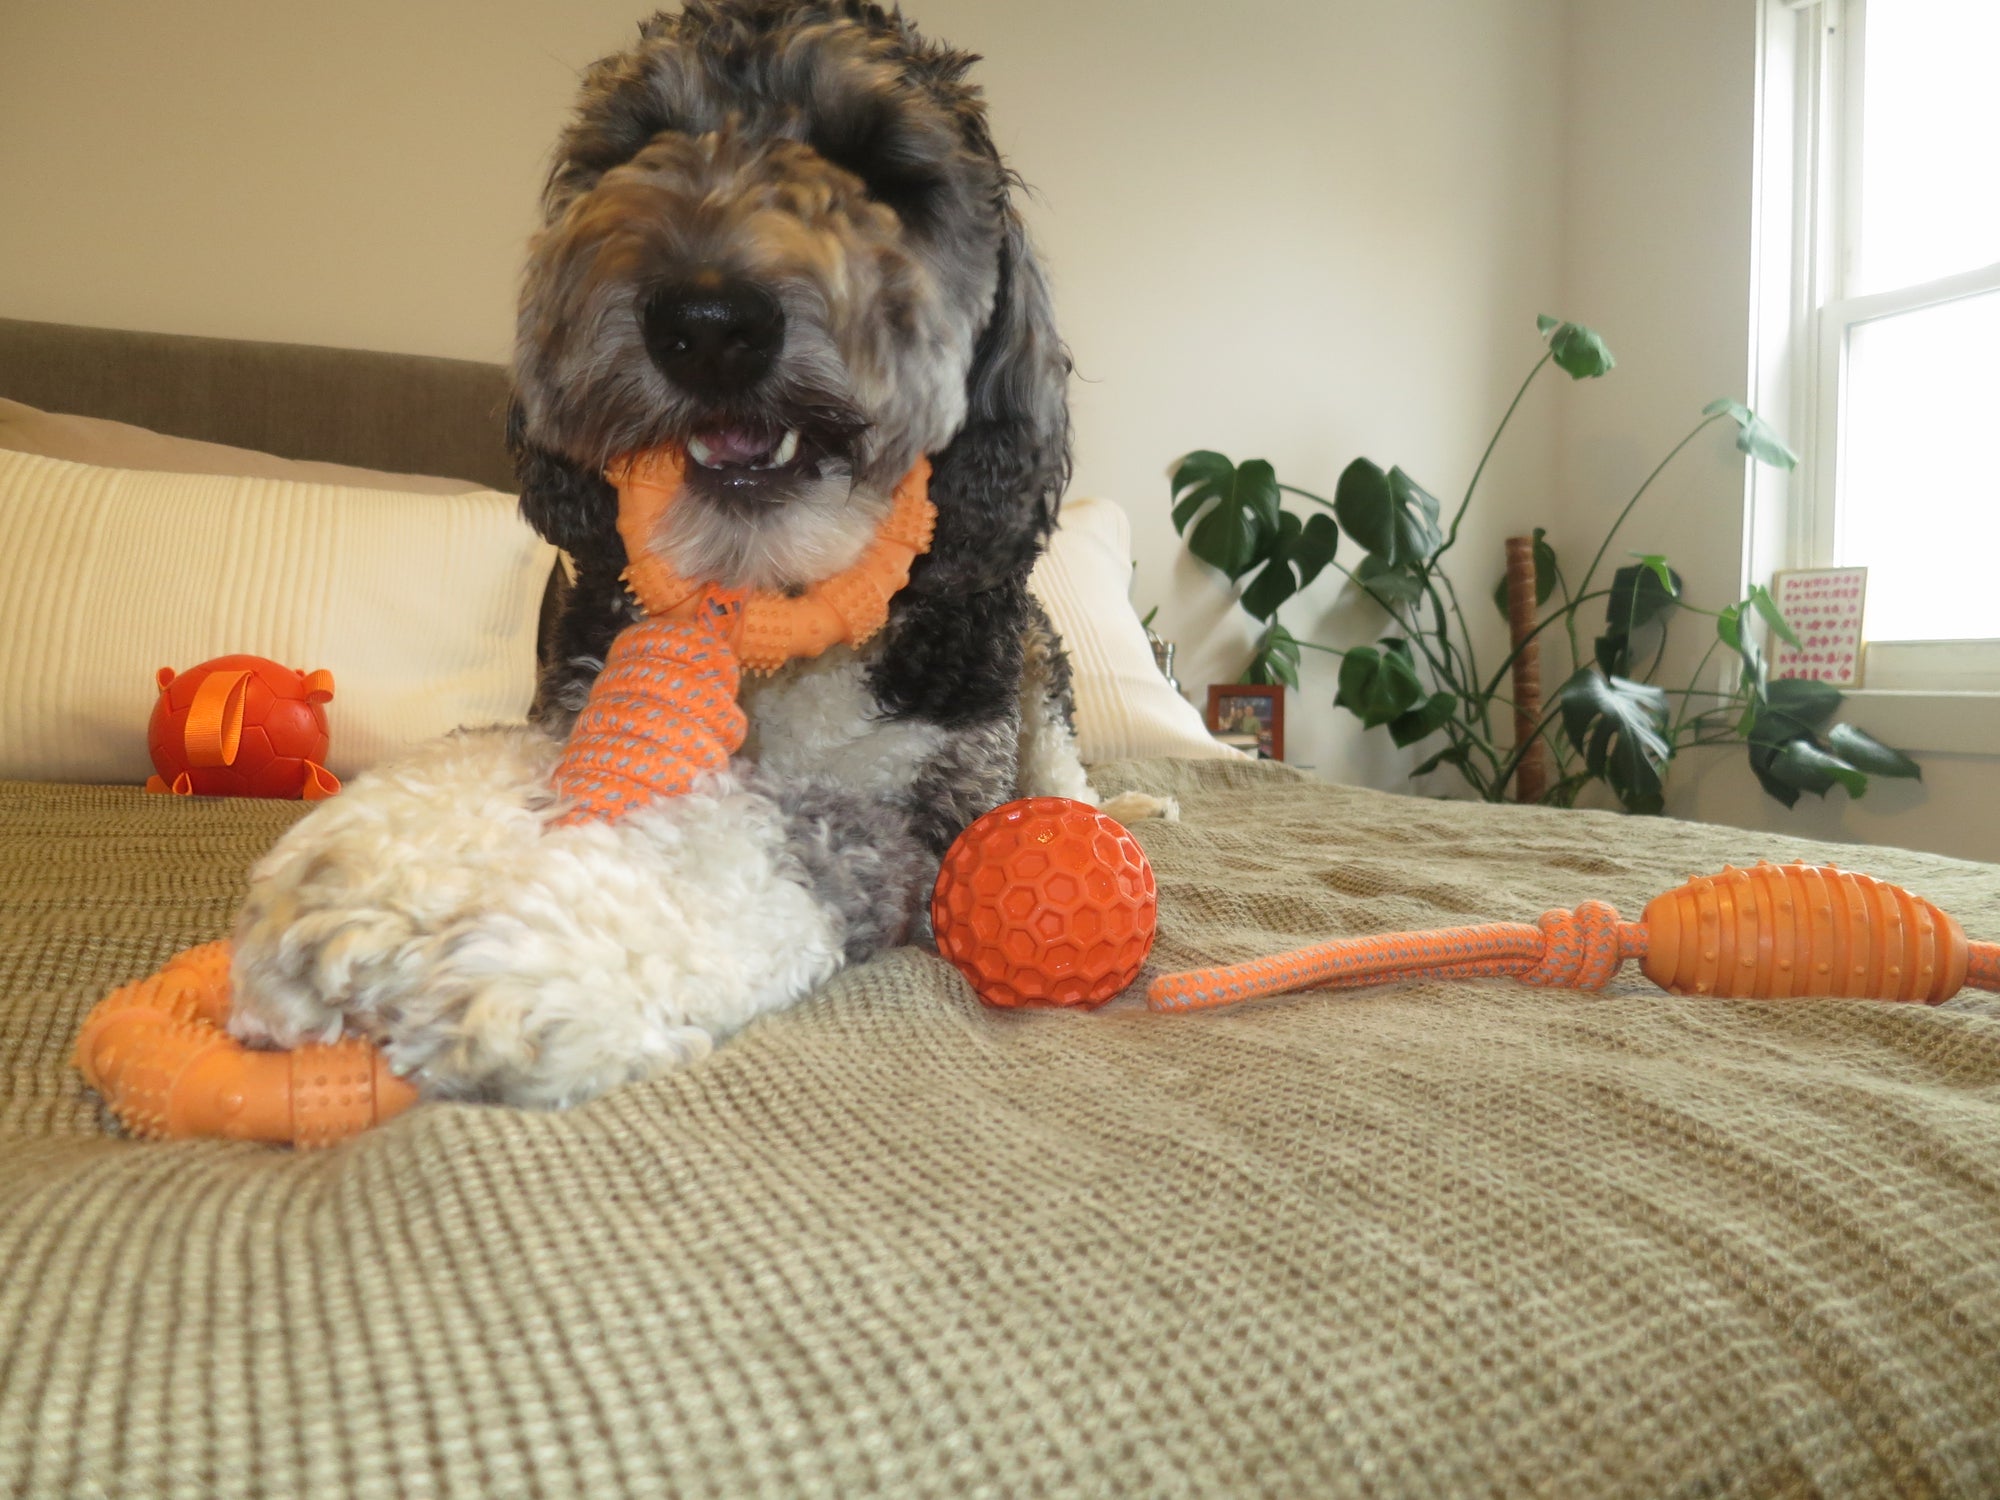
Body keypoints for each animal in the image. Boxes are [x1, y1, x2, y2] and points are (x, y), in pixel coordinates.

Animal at [223, 0, 1160, 1104]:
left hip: (1039, 671)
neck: (768, 604)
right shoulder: (575, 699)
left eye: (880, 167)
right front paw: (364, 878)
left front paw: (538, 959)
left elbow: (763, 848)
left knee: (1065, 775)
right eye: (637, 142)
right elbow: (479, 758)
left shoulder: (921, 819)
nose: (706, 320)